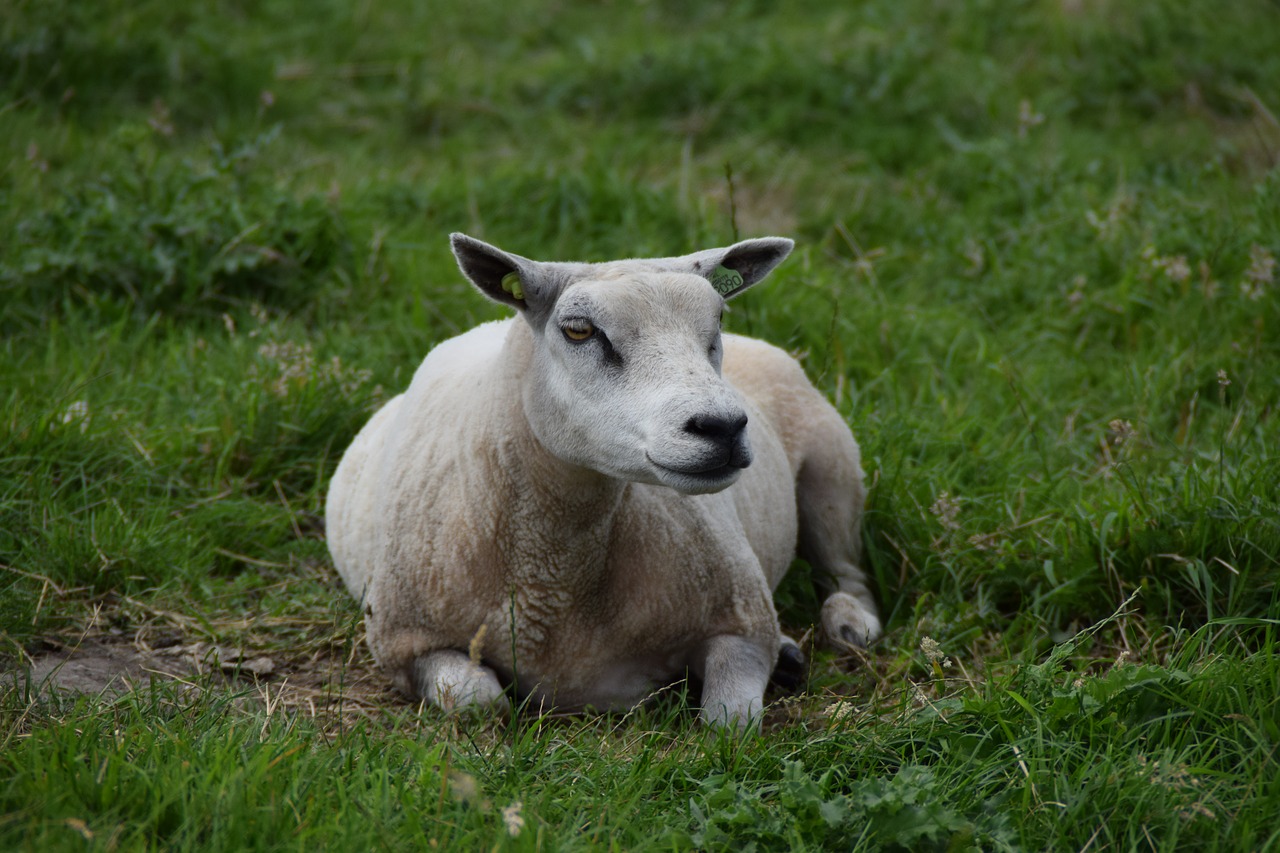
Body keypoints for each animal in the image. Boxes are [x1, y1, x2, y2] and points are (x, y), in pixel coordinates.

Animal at [325, 234, 880, 732]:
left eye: (718, 321)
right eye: (578, 330)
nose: (722, 426)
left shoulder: (743, 621)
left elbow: (730, 722)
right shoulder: (404, 644)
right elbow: (479, 702)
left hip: (833, 464)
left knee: (844, 567)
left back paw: (849, 623)